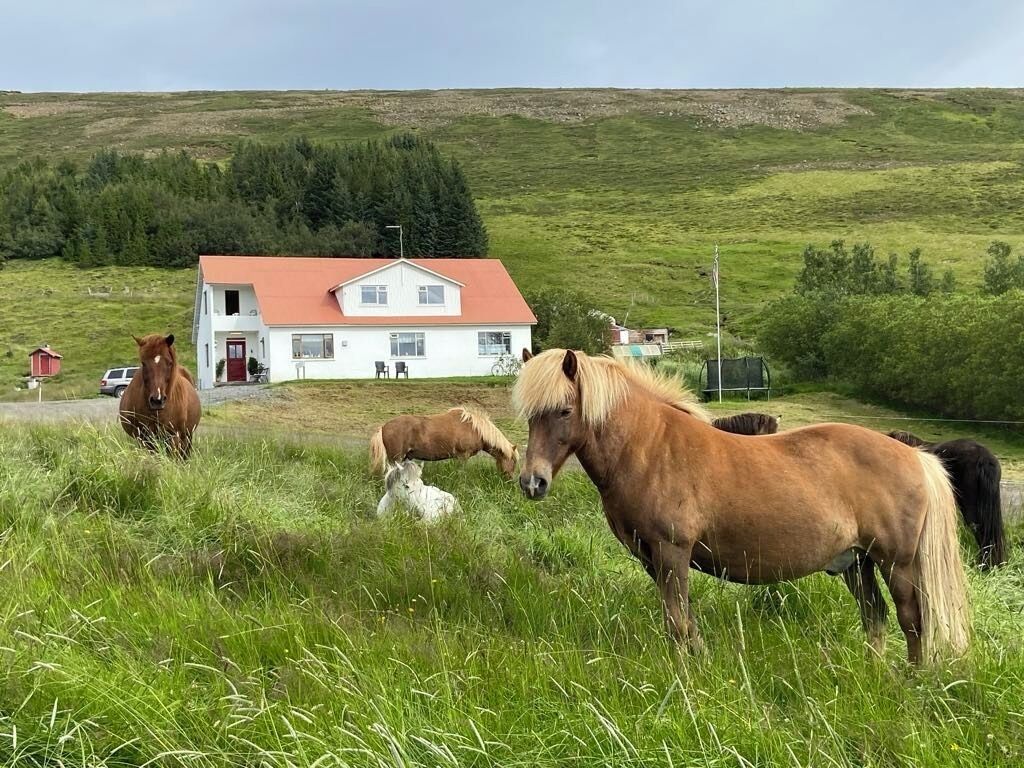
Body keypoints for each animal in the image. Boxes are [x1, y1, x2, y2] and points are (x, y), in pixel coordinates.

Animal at [369, 407, 518, 478]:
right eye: (514, 461)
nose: (510, 479)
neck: (475, 429)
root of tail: (384, 426)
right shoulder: (463, 456)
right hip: (396, 459)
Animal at [514, 349, 970, 665]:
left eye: (565, 411)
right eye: (530, 415)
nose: (532, 482)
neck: (650, 448)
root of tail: (915, 457)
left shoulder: (671, 553)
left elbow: (676, 622)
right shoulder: (653, 559)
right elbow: (683, 620)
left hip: (897, 563)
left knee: (913, 621)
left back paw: (910, 682)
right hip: (856, 563)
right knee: (875, 616)